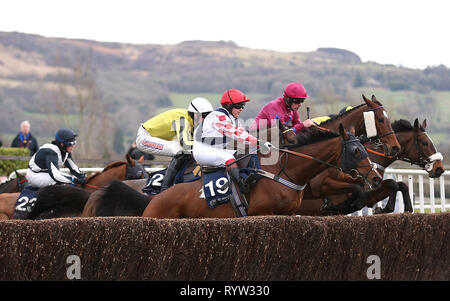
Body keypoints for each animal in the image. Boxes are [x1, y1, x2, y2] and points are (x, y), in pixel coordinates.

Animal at [96, 124, 384, 218]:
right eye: (356, 151)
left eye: (365, 148)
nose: (377, 176)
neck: (283, 171)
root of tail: (153, 200)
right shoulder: (262, 214)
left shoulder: (290, 214)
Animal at [298, 118, 444, 214]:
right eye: (425, 142)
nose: (440, 168)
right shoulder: (322, 184)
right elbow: (392, 184)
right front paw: (382, 209)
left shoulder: (371, 191)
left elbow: (398, 184)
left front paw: (405, 207)